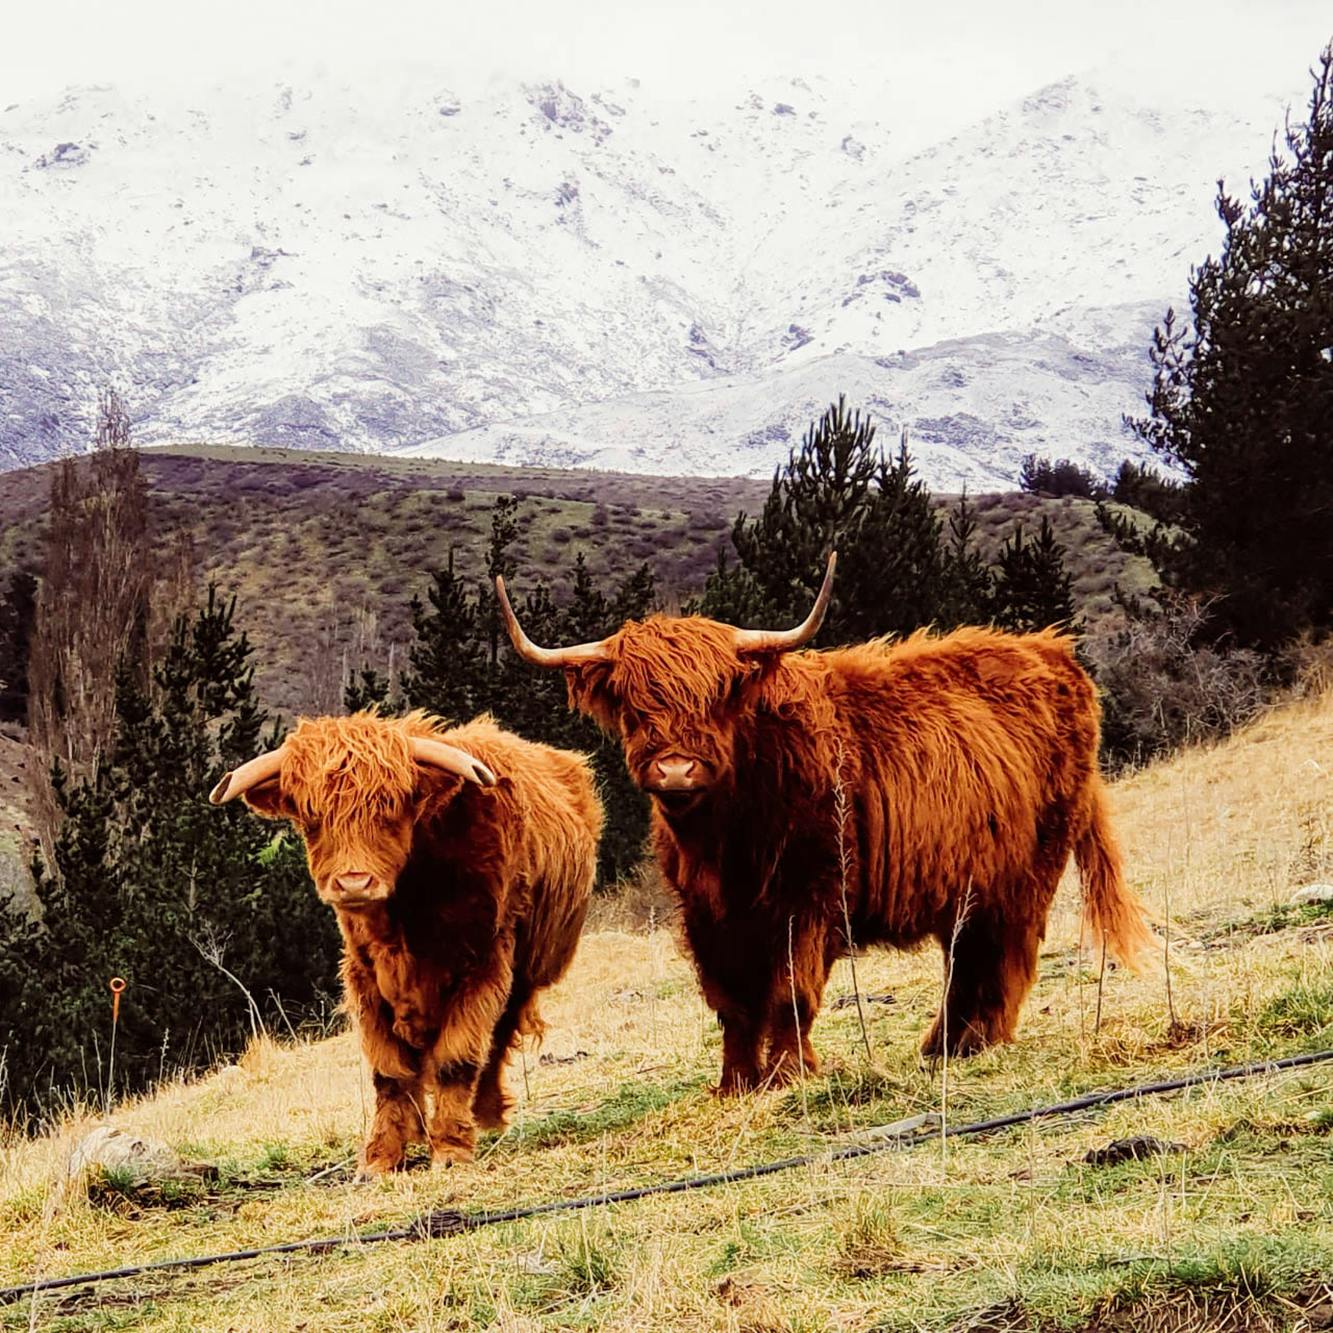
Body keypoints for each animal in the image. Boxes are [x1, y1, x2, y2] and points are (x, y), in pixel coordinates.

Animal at [209, 711, 601, 1173]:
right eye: (310, 816)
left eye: (391, 810)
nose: (353, 882)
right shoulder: (364, 975)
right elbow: (389, 1072)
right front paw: (381, 1157)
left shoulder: (482, 965)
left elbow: (456, 1059)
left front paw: (450, 1149)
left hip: (528, 968)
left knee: (499, 1037)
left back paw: (487, 1115)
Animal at [495, 554, 1155, 1093]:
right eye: (634, 705)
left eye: (718, 696)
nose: (676, 769)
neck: (726, 838)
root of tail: (1055, 652)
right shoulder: (706, 916)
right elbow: (730, 1001)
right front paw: (736, 1082)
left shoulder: (811, 896)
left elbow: (790, 989)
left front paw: (790, 1074)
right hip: (967, 879)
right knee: (965, 954)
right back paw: (944, 1046)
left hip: (1029, 869)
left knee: (1006, 952)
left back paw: (976, 1042)